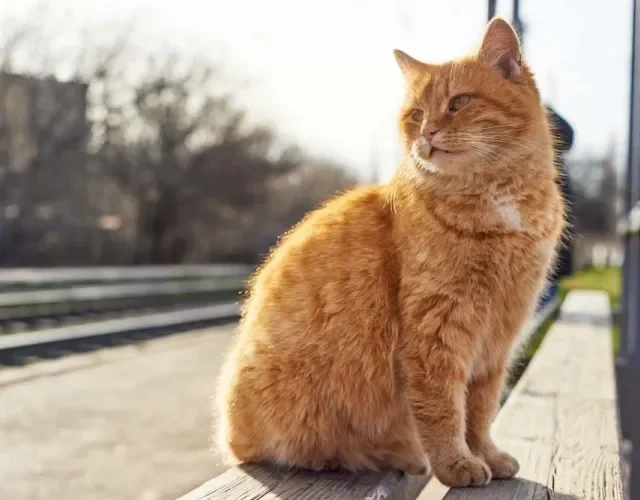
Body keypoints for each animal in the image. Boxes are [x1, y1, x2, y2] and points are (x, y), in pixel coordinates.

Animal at [216, 17, 564, 486]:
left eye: (459, 102)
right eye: (416, 114)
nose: (427, 132)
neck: (497, 203)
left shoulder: (498, 339)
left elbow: (481, 410)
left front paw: (487, 455)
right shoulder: (438, 330)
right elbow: (443, 409)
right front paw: (457, 463)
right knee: (262, 450)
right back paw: (351, 456)